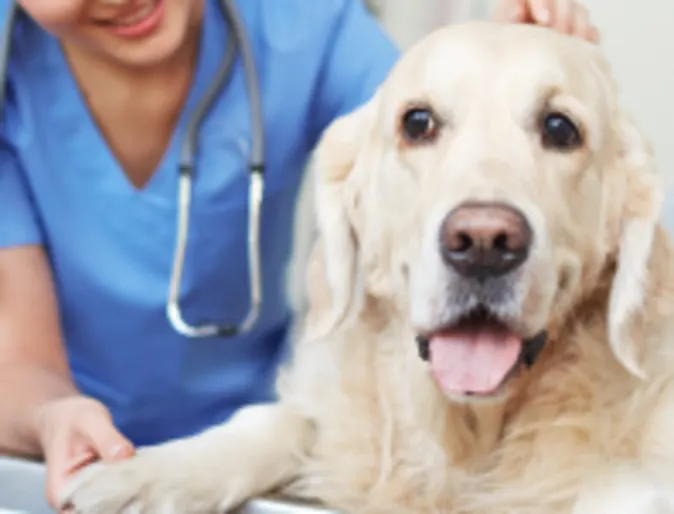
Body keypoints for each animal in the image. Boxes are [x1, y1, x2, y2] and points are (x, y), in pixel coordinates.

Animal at [59, 21, 672, 512]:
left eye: (560, 129)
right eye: (417, 122)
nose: (483, 241)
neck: (464, 437)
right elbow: (278, 419)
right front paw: (144, 472)